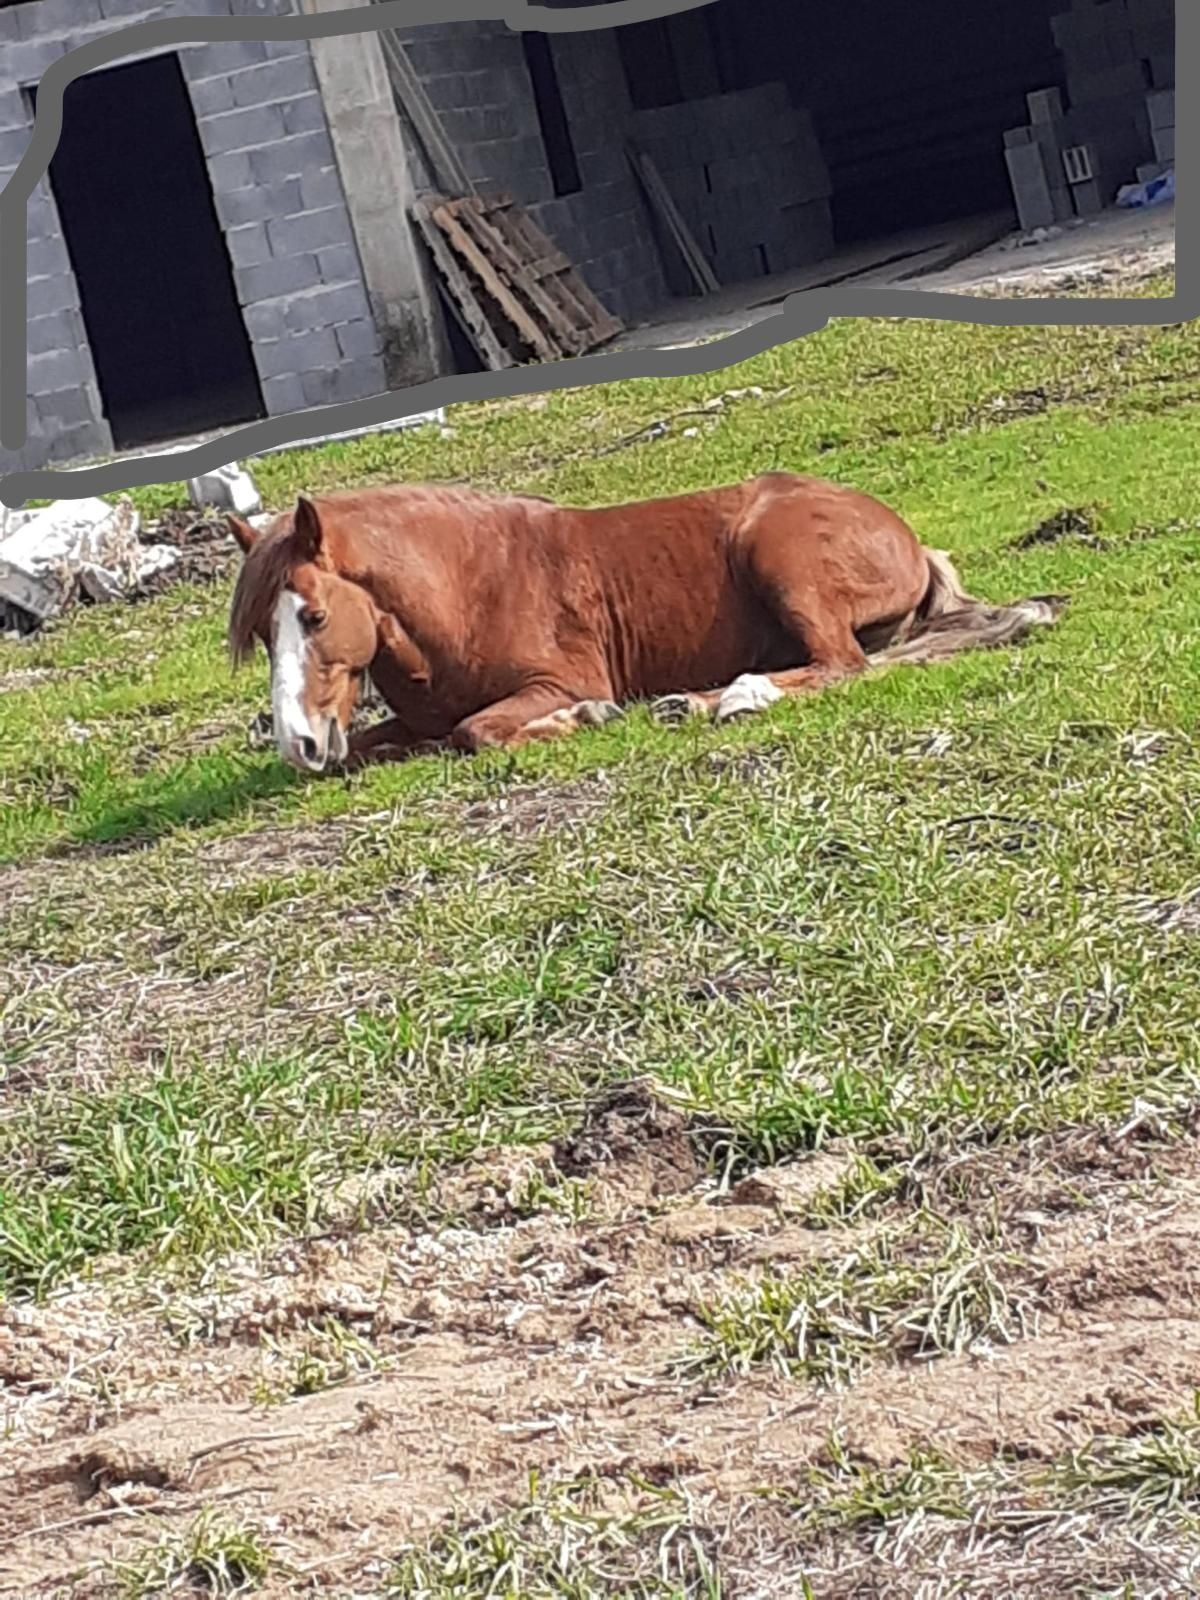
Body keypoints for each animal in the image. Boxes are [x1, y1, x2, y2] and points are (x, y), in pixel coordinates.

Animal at [225, 467, 1062, 774]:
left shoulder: (557, 680)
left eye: (313, 614)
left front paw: (586, 719)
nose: (299, 744)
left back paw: (724, 698)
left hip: (781, 560)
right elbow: (380, 744)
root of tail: (906, 538)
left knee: (839, 667)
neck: (467, 588)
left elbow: (478, 732)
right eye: (264, 635)